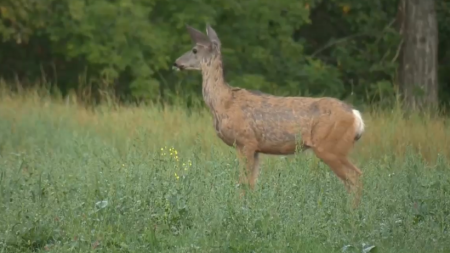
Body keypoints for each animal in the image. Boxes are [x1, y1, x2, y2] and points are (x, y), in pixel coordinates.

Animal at [172, 23, 366, 207]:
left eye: (194, 50)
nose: (176, 63)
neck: (223, 102)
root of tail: (356, 116)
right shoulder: (256, 148)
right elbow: (251, 184)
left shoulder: (245, 141)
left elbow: (243, 183)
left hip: (330, 146)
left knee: (355, 177)